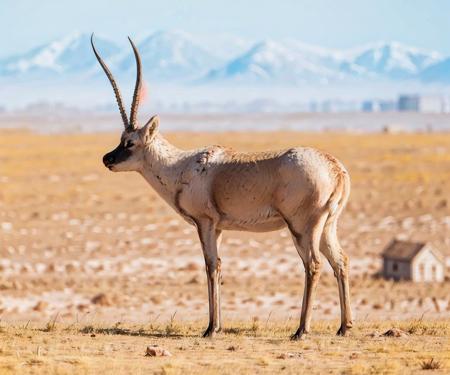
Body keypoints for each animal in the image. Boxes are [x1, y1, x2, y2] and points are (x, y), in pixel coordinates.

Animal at [90, 36, 352, 340]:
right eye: (121, 138)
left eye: (130, 142)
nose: (107, 158)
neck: (181, 165)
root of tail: (336, 169)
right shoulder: (219, 227)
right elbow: (219, 265)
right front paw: (218, 325)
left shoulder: (204, 222)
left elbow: (210, 266)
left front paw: (210, 328)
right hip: (327, 226)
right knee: (340, 261)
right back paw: (343, 327)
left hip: (301, 226)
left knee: (313, 264)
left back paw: (301, 330)